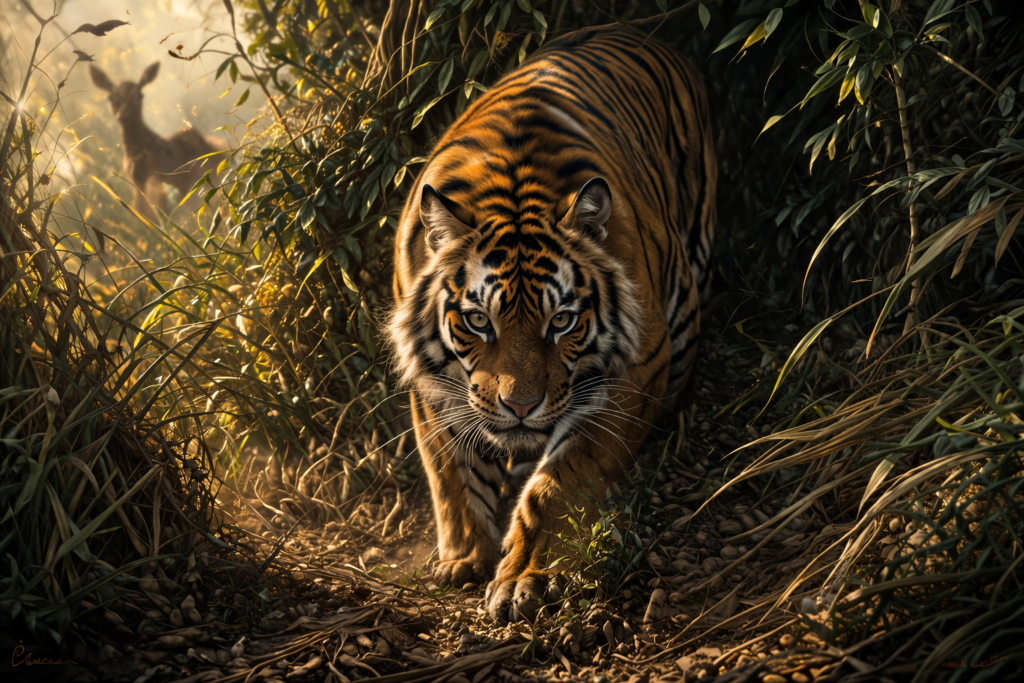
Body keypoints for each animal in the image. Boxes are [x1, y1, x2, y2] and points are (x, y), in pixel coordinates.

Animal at [387, 27, 716, 622]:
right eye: (478, 321)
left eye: (561, 321)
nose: (520, 407)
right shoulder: (431, 380)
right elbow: (449, 471)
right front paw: (463, 558)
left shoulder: (633, 369)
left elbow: (559, 483)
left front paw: (523, 578)